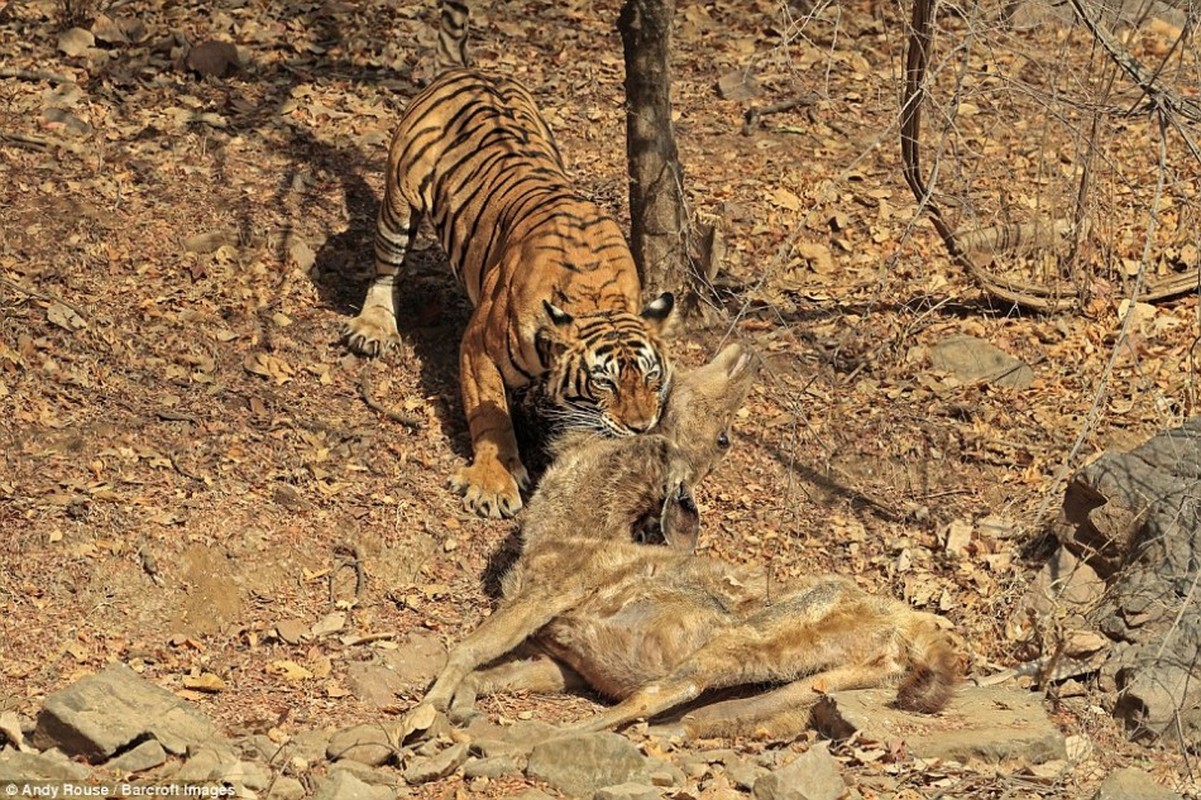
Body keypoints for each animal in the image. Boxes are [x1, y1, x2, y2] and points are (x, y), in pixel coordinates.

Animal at [345, 66, 677, 516]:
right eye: (604, 382)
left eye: (651, 376)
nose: (640, 427)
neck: (595, 298)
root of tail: (470, 69)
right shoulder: (478, 347)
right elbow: (492, 417)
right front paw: (492, 484)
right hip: (400, 199)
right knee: (385, 269)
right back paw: (373, 327)